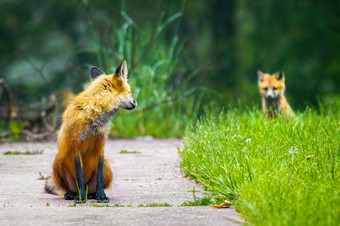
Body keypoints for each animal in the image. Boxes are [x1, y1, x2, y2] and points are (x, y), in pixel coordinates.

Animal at [45, 60, 137, 203]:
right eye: (129, 91)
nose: (135, 102)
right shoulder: (75, 147)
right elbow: (79, 176)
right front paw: (81, 197)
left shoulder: (100, 146)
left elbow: (99, 176)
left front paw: (101, 196)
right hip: (59, 159)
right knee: (71, 187)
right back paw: (74, 194)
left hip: (107, 165)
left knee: (95, 186)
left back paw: (93, 195)